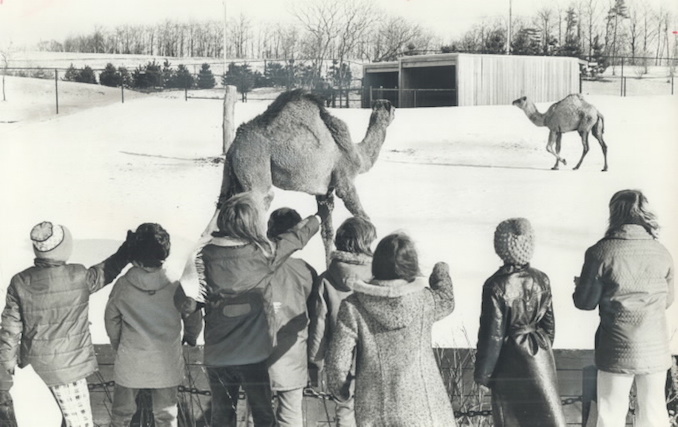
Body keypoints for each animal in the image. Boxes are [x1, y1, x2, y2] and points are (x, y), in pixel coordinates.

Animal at [212, 89, 394, 264]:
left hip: (231, 178)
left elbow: (327, 232)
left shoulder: (325, 192)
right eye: (389, 107)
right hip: (254, 170)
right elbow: (365, 218)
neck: (359, 155)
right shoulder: (345, 181)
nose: (392, 109)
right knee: (261, 208)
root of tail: (233, 147)